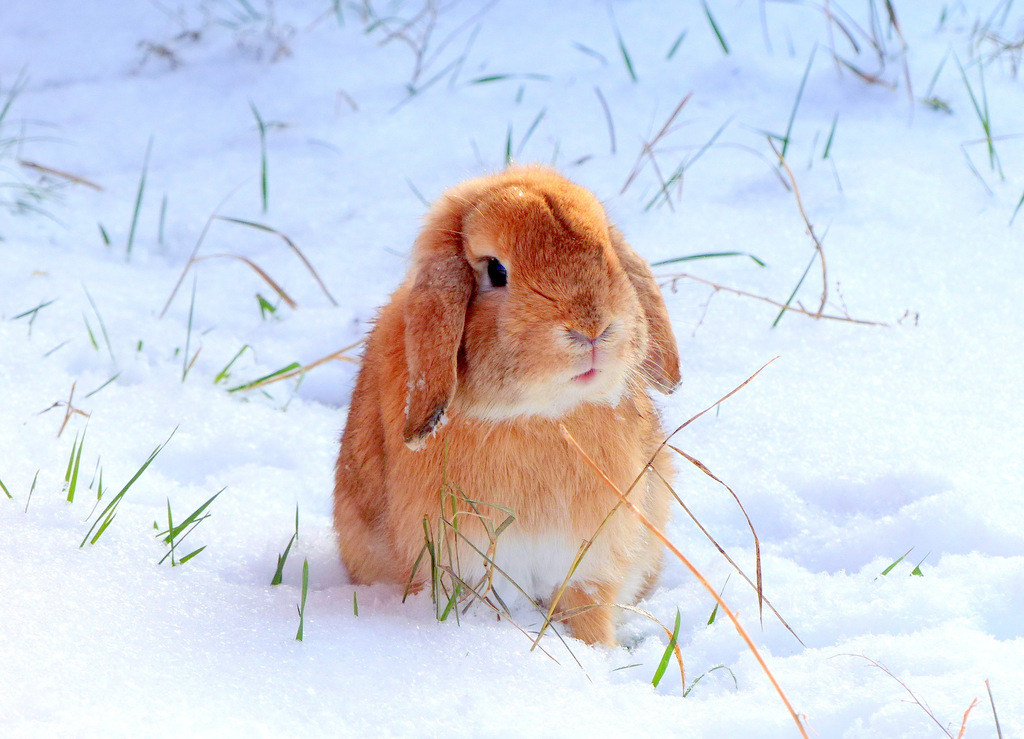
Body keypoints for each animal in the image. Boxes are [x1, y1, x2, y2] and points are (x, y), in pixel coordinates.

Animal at [331, 163, 679, 642]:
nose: (592, 329)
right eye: (496, 270)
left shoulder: (590, 566)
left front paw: (597, 651)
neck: (537, 415)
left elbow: (589, 615)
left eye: (606, 250)